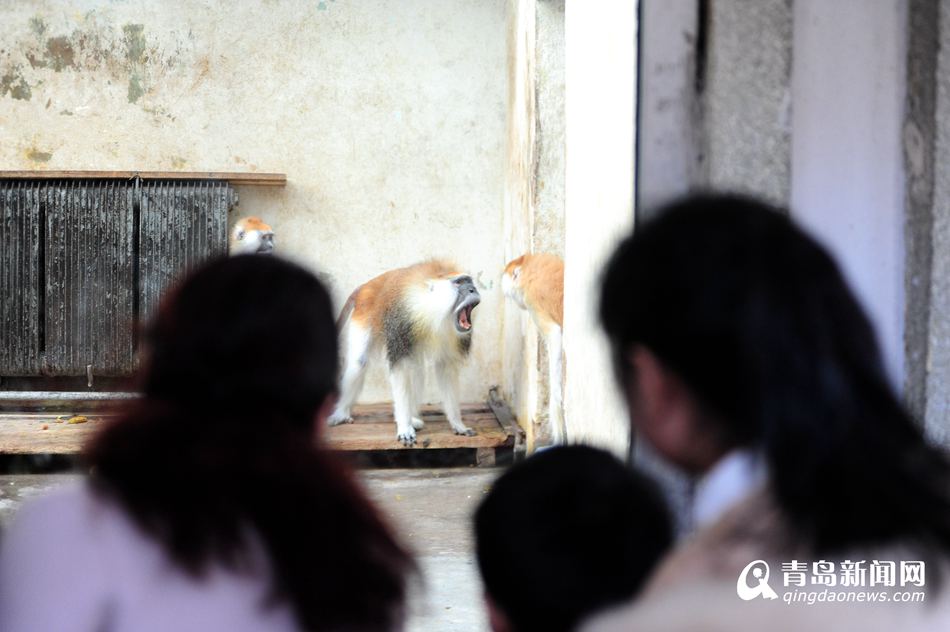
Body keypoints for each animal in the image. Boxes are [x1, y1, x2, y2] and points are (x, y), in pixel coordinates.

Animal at [332, 260, 484, 446]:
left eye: (470, 282)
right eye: (460, 282)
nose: (473, 289)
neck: (429, 305)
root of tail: (366, 286)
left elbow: (445, 369)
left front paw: (457, 423)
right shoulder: (402, 322)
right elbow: (400, 369)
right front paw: (404, 427)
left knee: (417, 370)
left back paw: (413, 418)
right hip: (364, 312)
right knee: (359, 362)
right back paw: (342, 412)